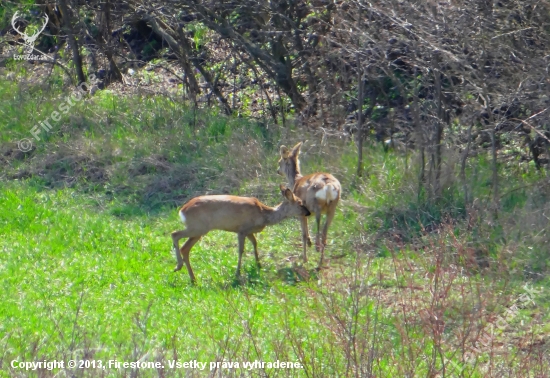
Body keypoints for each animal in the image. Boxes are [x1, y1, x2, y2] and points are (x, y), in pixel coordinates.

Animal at [172, 185, 310, 282]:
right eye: (300, 203)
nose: (308, 213)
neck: (263, 214)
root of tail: (182, 211)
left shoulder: (249, 231)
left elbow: (255, 243)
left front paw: (258, 264)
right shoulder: (242, 230)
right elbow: (241, 250)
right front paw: (238, 272)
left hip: (198, 230)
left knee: (185, 248)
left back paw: (192, 278)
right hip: (198, 227)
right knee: (175, 234)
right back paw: (178, 266)